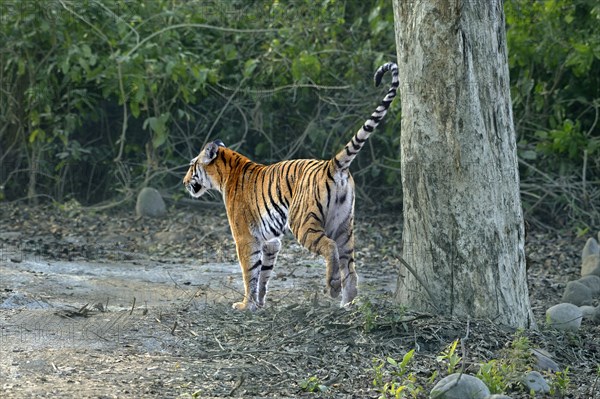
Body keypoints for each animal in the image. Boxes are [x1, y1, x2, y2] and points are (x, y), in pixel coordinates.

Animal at [183, 62, 398, 312]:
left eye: (192, 165)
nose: (185, 181)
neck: (226, 173)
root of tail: (331, 164)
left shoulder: (245, 237)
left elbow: (249, 273)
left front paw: (245, 305)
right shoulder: (271, 242)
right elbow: (264, 274)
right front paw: (259, 303)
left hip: (302, 222)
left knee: (330, 247)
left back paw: (333, 288)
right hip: (344, 224)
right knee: (350, 268)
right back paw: (347, 303)